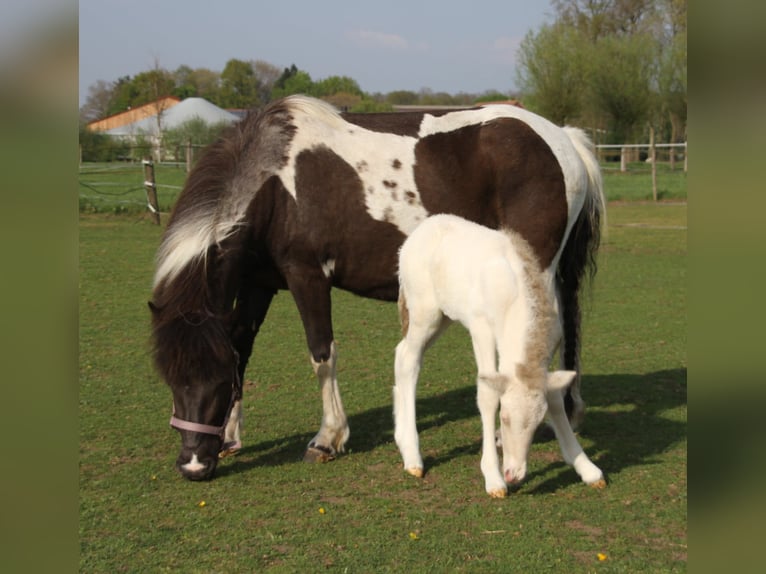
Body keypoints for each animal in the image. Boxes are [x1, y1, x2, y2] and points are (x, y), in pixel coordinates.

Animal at [394, 214, 605, 497]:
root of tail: (421, 230)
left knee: (401, 351)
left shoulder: (551, 343)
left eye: (538, 423)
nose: (513, 474)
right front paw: (494, 479)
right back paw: (413, 458)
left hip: (443, 316)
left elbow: (555, 398)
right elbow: (487, 395)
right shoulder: (481, 328)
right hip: (423, 309)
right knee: (410, 360)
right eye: (504, 417)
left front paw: (588, 469)